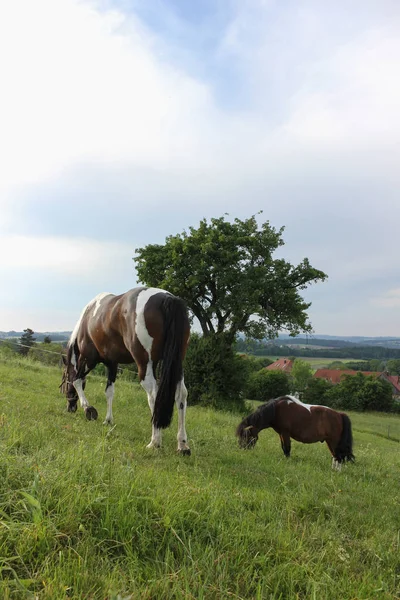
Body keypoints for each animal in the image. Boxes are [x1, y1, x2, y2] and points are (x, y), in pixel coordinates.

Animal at [60, 288, 191, 452]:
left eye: (65, 381)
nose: (70, 408)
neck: (88, 317)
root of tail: (168, 298)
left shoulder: (87, 358)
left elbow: (77, 381)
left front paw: (88, 409)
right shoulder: (112, 364)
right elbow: (109, 392)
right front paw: (108, 420)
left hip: (145, 364)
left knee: (154, 395)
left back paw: (155, 441)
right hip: (176, 364)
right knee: (181, 395)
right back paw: (182, 444)